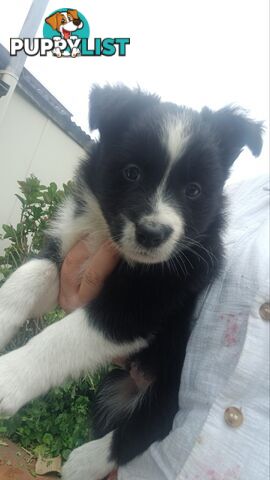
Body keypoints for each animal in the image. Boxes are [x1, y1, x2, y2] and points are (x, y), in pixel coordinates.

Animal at [0, 86, 264, 480]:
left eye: (194, 190)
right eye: (132, 172)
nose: (153, 233)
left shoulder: (140, 304)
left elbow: (61, 336)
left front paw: (9, 377)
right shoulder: (66, 252)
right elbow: (28, 276)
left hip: (175, 377)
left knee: (156, 423)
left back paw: (85, 461)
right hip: (112, 384)